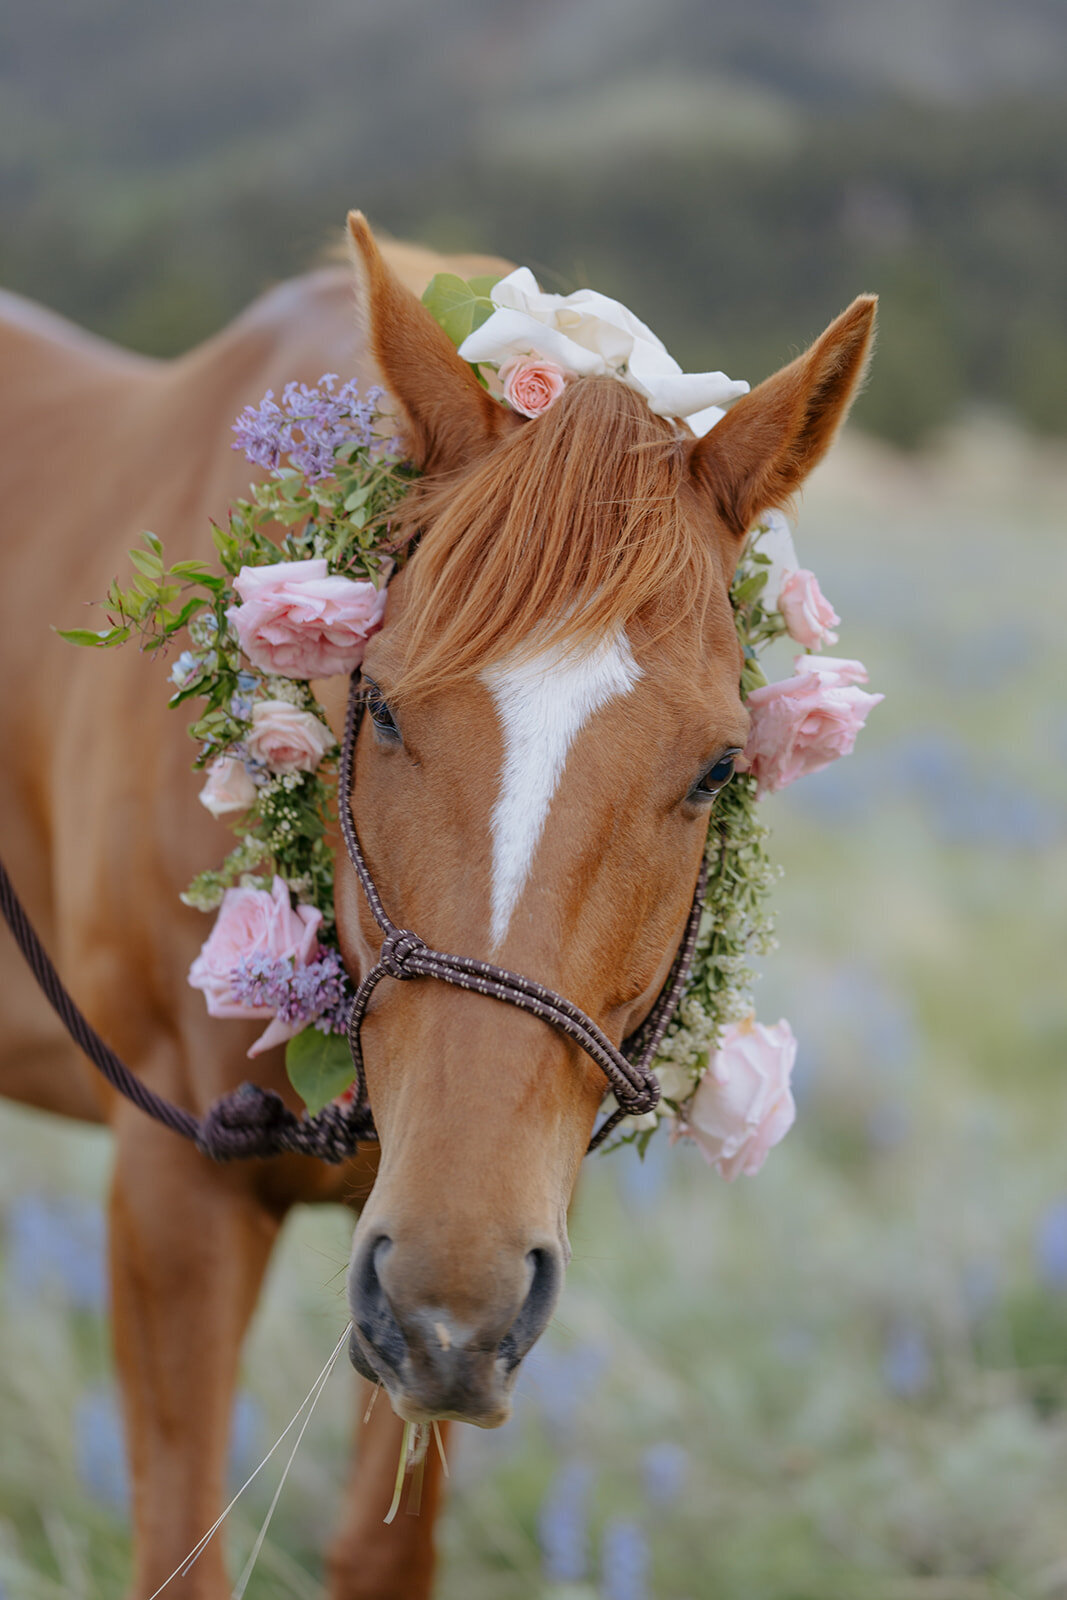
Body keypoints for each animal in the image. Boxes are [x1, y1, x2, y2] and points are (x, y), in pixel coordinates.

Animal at [0, 216, 876, 1600]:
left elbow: (382, 1546)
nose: (446, 1305)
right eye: (381, 705)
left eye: (715, 768)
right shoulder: (176, 1194)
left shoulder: (478, 1243)